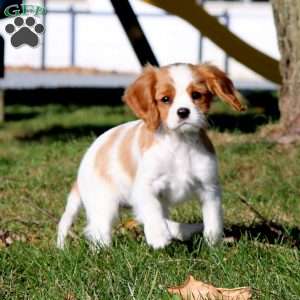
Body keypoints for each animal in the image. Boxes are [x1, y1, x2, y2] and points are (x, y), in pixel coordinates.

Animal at [56, 63, 244, 251]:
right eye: (165, 99)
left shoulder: (209, 187)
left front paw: (214, 244)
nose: (183, 112)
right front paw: (158, 237)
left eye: (196, 95)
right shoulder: (146, 187)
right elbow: (152, 211)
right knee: (98, 231)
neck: (180, 142)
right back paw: (104, 250)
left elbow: (214, 218)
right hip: (103, 203)